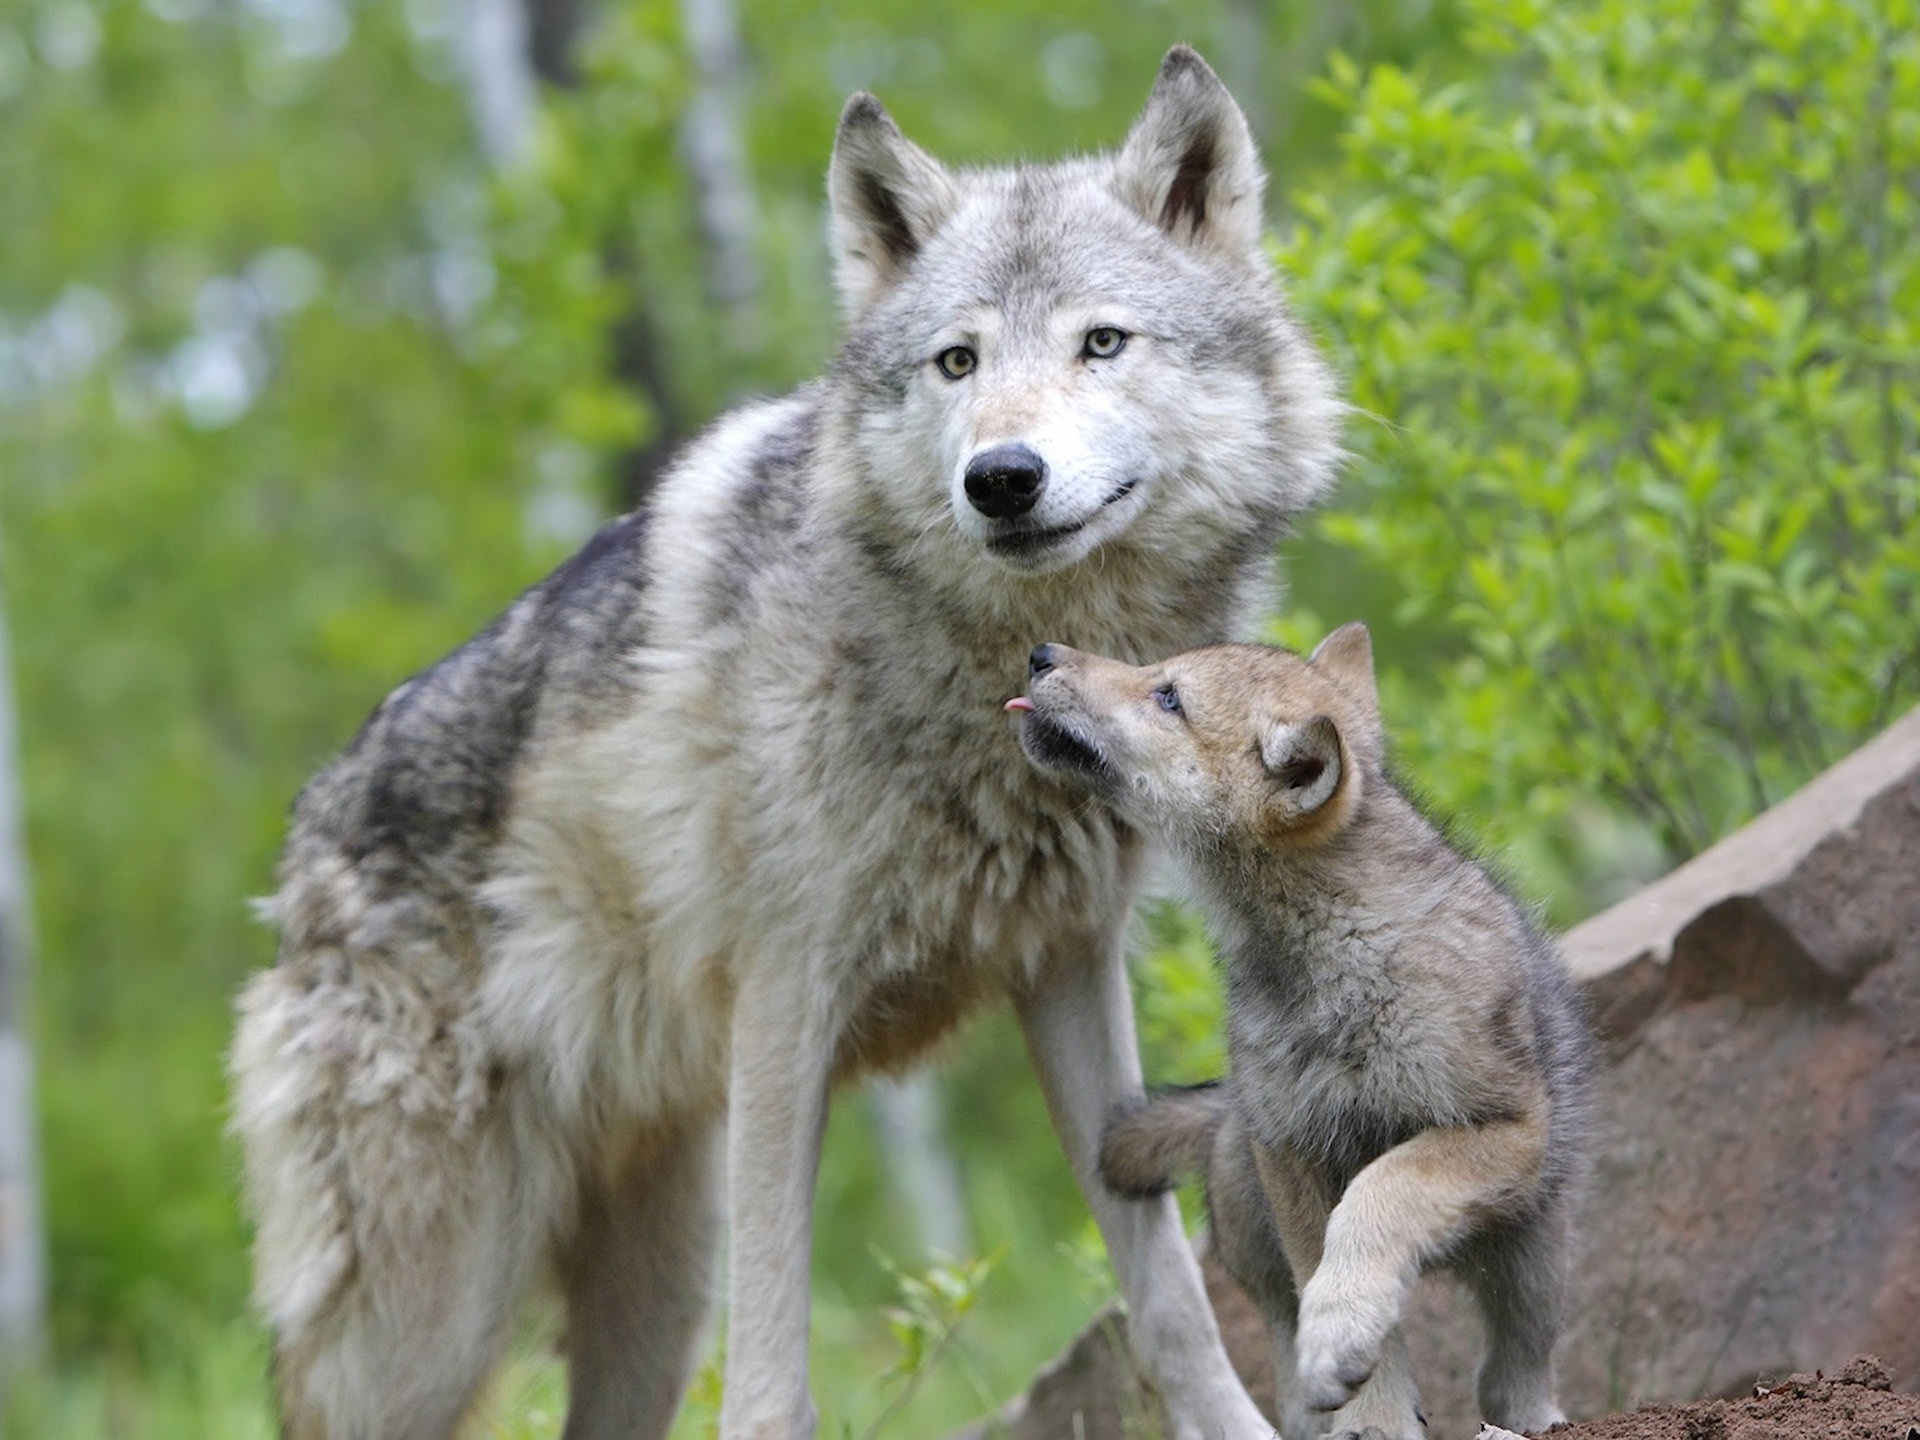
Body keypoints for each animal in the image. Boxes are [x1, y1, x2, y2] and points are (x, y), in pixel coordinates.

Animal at [228, 45, 1336, 1440]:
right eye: (957, 361)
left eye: (1102, 342)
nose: (1002, 478)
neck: (990, 680)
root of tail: (302, 847)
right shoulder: (785, 1007)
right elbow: (770, 1382)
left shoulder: (1069, 969)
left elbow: (1171, 1308)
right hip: (432, 1321)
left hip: (653, 1285)